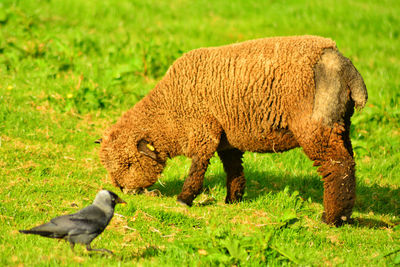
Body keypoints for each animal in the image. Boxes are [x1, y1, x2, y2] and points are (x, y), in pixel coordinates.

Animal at [98, 35, 368, 227]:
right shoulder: (226, 136)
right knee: (349, 164)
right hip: (340, 124)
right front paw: (233, 199)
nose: (123, 191)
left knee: (338, 167)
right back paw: (345, 216)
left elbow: (198, 167)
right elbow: (233, 168)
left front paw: (185, 199)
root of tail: (344, 65)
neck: (169, 110)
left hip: (316, 126)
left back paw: (331, 219)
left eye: (129, 164)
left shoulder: (203, 130)